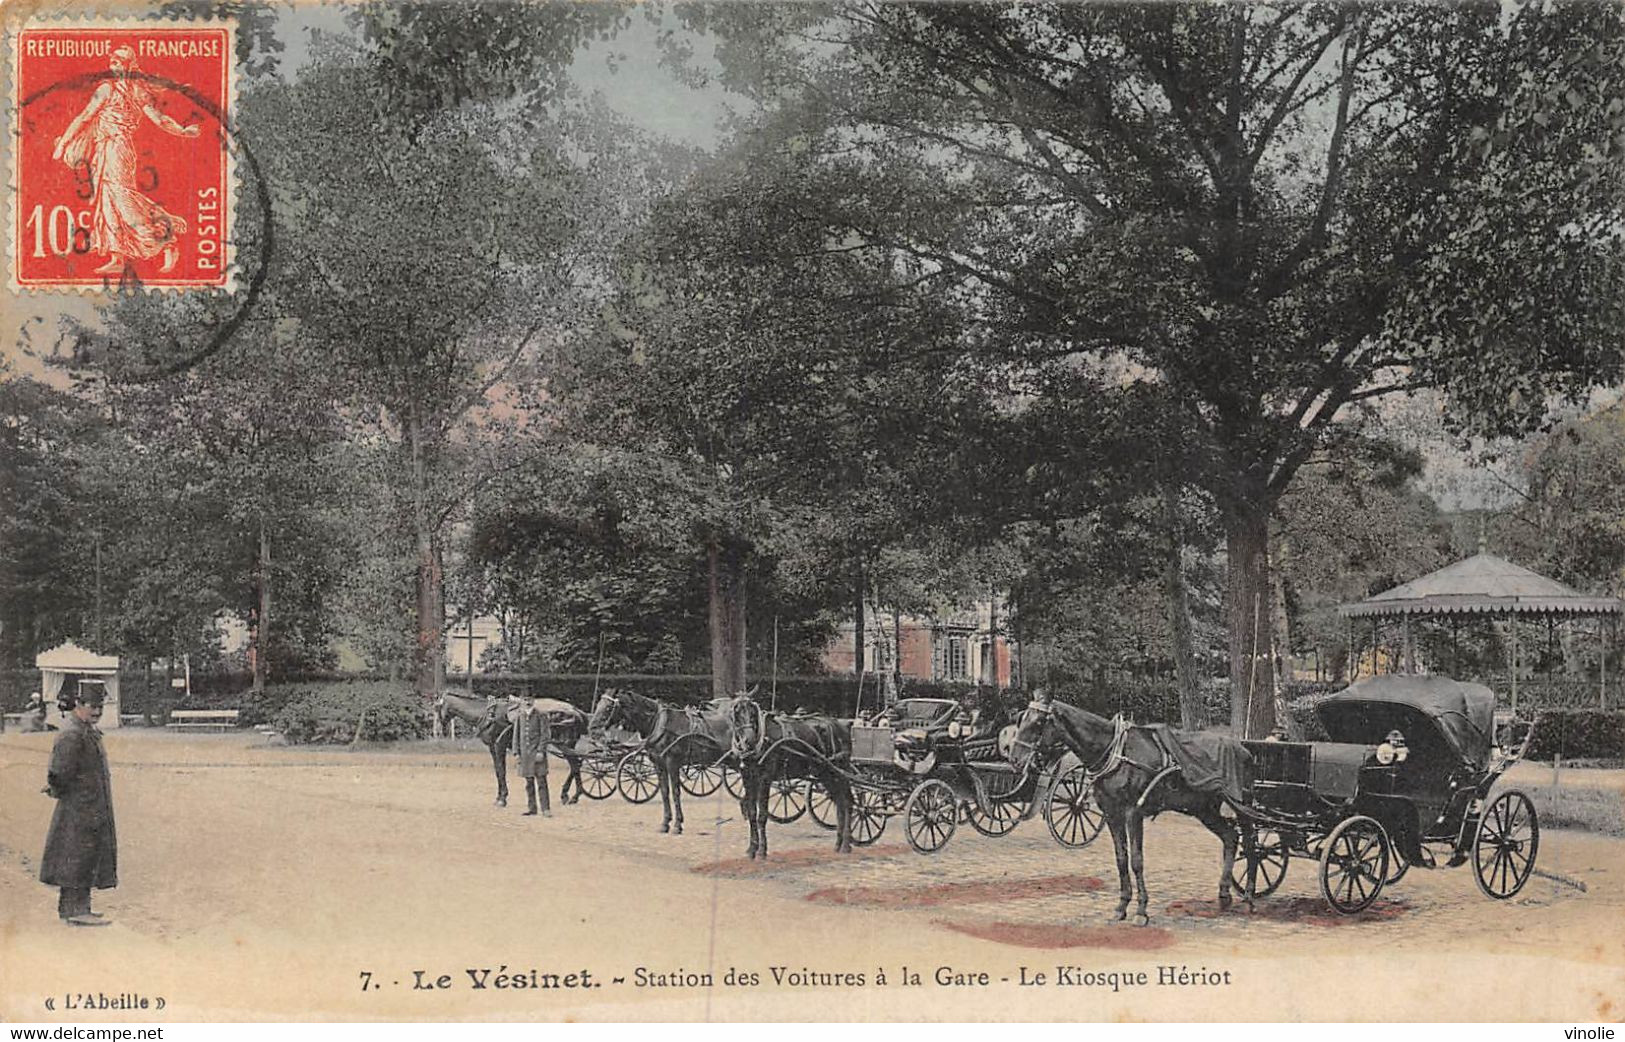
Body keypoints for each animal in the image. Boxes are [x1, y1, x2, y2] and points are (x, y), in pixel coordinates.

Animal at [438, 695, 591, 809]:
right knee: (576, 765)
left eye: (437, 706)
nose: (442, 728)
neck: (487, 714)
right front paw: (499, 797)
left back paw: (573, 795)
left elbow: (501, 771)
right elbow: (497, 771)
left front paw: (502, 799)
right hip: (567, 745)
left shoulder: (499, 746)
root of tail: (575, 710)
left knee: (575, 765)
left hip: (564, 744)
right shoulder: (492, 747)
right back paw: (571, 795)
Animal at [585, 689, 737, 838]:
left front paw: (677, 825)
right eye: (598, 704)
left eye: (609, 707)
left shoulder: (672, 763)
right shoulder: (659, 764)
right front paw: (665, 823)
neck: (659, 724)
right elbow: (664, 792)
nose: (592, 728)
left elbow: (675, 792)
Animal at [731, 695, 858, 858]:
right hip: (825, 774)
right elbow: (752, 813)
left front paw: (761, 851)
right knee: (840, 803)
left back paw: (846, 845)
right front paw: (752, 849)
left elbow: (762, 815)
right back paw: (838, 844)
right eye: (737, 715)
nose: (749, 740)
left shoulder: (765, 778)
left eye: (753, 714)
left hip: (839, 772)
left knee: (847, 802)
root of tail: (843, 725)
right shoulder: (747, 777)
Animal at [1007, 695, 1248, 923]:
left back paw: (1246, 896)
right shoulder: (1111, 813)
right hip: (1204, 810)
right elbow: (1121, 859)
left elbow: (1137, 861)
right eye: (1021, 718)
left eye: (1039, 722)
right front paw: (1122, 906)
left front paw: (1141, 910)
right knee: (1231, 837)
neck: (1116, 755)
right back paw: (1225, 895)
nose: (1015, 759)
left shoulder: (1133, 813)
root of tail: (1240, 747)